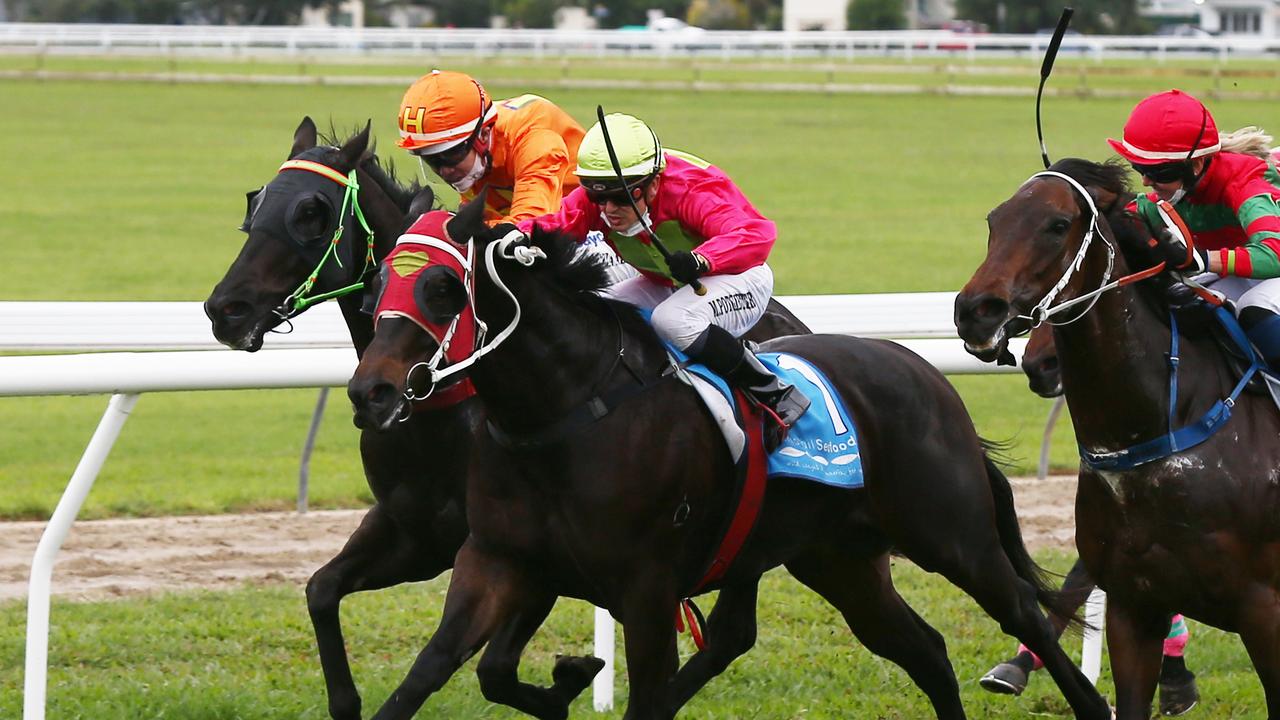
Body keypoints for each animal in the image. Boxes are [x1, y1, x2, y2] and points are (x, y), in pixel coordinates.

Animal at [206, 117, 814, 717]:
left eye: (310, 211)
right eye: (255, 201)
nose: (224, 309)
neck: (447, 408)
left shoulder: (514, 556)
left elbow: (492, 668)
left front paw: (569, 682)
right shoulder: (415, 530)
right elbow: (321, 591)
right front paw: (348, 700)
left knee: (729, 631)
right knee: (732, 632)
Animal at [343, 193, 1111, 717]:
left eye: (443, 288)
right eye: (380, 281)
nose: (369, 391)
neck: (562, 411)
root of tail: (923, 373)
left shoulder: (647, 591)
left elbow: (646, 697)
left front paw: (573, 679)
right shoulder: (500, 560)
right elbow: (434, 670)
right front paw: (565, 679)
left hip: (952, 536)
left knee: (1023, 611)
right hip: (840, 559)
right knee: (924, 650)